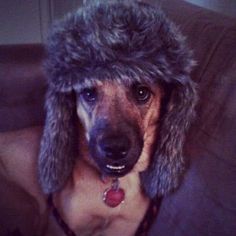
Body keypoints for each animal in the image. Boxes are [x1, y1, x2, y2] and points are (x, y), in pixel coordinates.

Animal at [38, 0, 197, 235]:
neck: (114, 183)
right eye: (88, 93)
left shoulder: (124, 228)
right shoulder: (62, 225)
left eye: (141, 92)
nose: (114, 150)